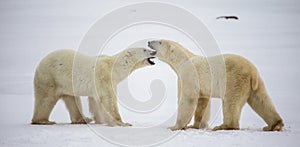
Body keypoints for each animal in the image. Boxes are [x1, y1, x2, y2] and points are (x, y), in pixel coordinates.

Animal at [149, 39, 284, 131]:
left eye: (159, 41)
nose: (149, 41)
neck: (183, 60)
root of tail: (252, 71)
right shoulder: (202, 85)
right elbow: (202, 103)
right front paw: (196, 125)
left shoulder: (189, 76)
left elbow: (188, 99)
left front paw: (175, 126)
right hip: (255, 84)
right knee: (261, 100)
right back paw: (274, 125)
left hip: (233, 80)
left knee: (230, 103)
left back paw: (223, 126)